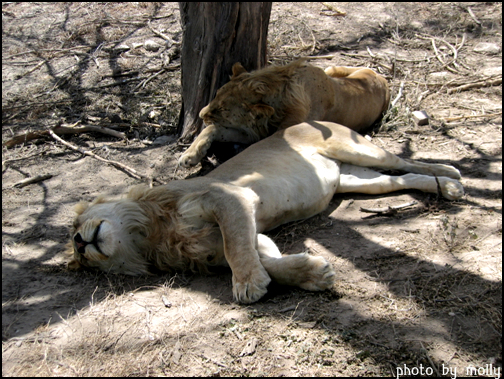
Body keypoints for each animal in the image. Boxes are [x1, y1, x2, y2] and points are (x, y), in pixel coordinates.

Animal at [69, 120, 462, 304]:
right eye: (83, 262)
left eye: (75, 224)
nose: (78, 241)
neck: (152, 236)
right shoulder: (241, 235)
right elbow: (265, 259)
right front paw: (313, 274)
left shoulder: (229, 197)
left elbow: (236, 248)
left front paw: (247, 286)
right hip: (355, 180)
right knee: (401, 178)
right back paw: (444, 187)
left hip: (355, 148)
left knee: (406, 161)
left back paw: (451, 174)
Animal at [177, 58, 390, 167]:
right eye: (216, 94)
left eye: (223, 109)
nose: (200, 115)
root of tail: (380, 76)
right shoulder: (255, 132)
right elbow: (212, 130)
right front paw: (190, 155)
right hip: (332, 68)